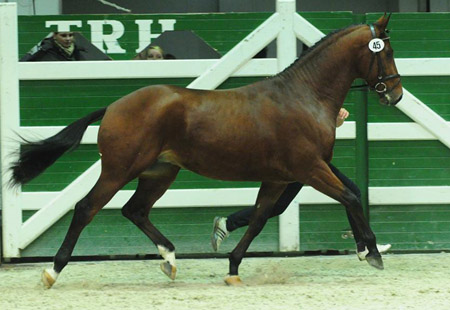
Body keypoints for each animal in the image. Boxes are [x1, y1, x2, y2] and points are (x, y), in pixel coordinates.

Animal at [10, 13, 402, 286]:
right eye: (387, 51)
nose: (395, 94)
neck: (302, 97)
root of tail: (115, 106)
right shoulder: (309, 168)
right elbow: (350, 197)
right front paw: (370, 252)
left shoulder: (280, 177)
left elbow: (259, 218)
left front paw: (232, 268)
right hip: (119, 169)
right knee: (85, 208)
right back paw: (53, 271)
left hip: (160, 172)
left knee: (135, 210)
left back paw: (170, 259)